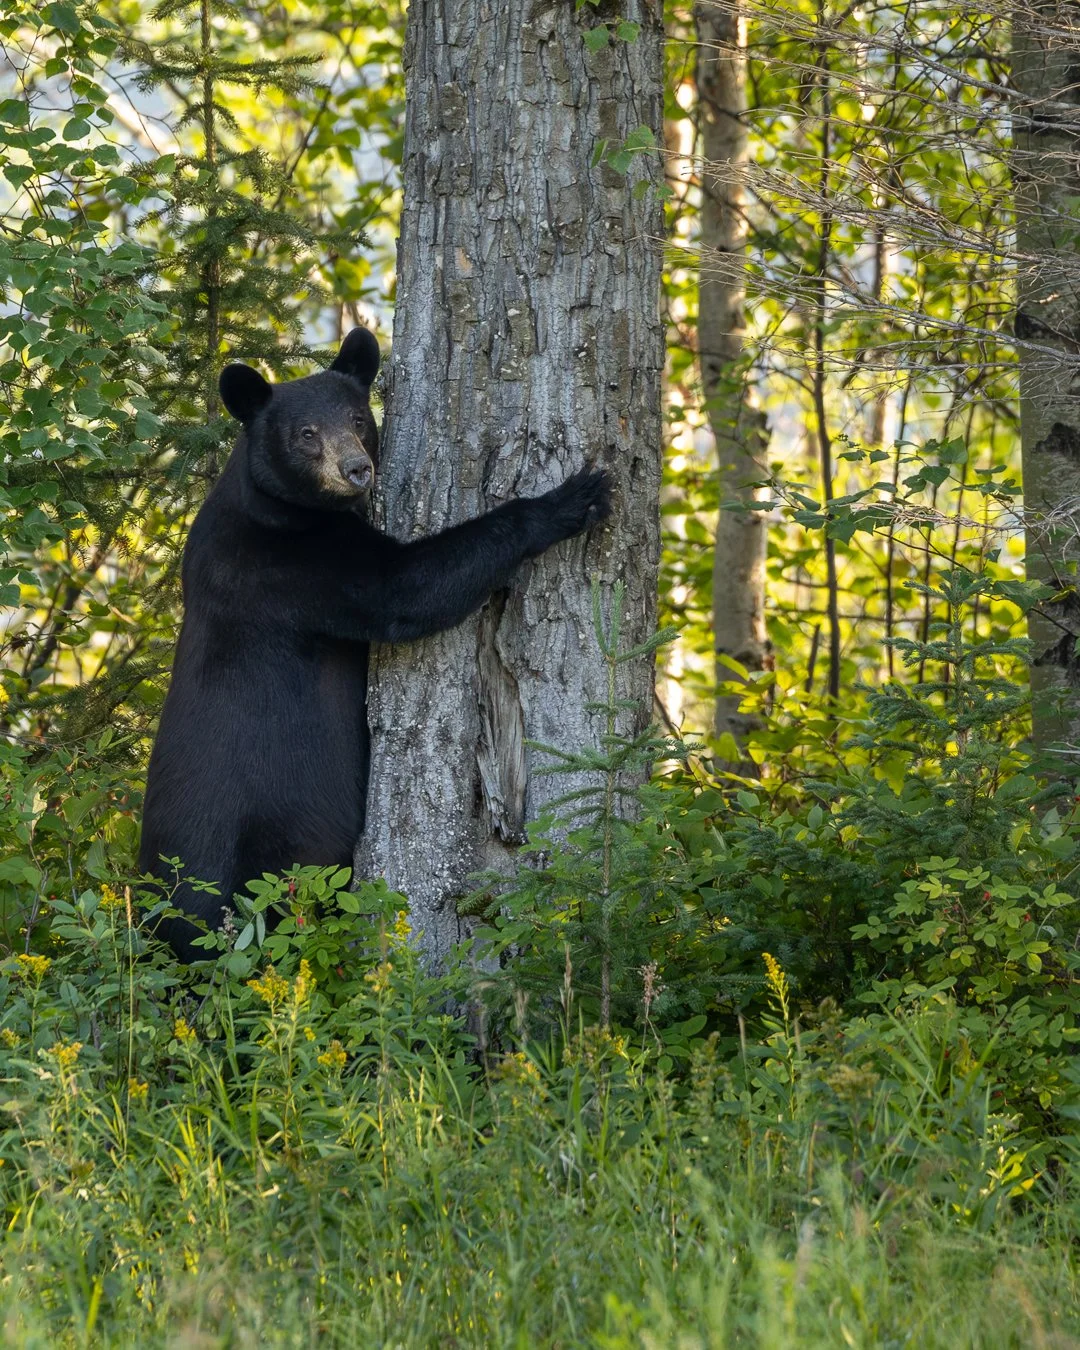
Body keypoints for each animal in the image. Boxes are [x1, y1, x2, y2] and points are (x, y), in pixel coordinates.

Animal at [139, 327, 611, 960]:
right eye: (306, 433)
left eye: (358, 418)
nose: (356, 469)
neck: (276, 507)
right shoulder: (289, 566)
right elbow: (406, 588)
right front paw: (565, 501)